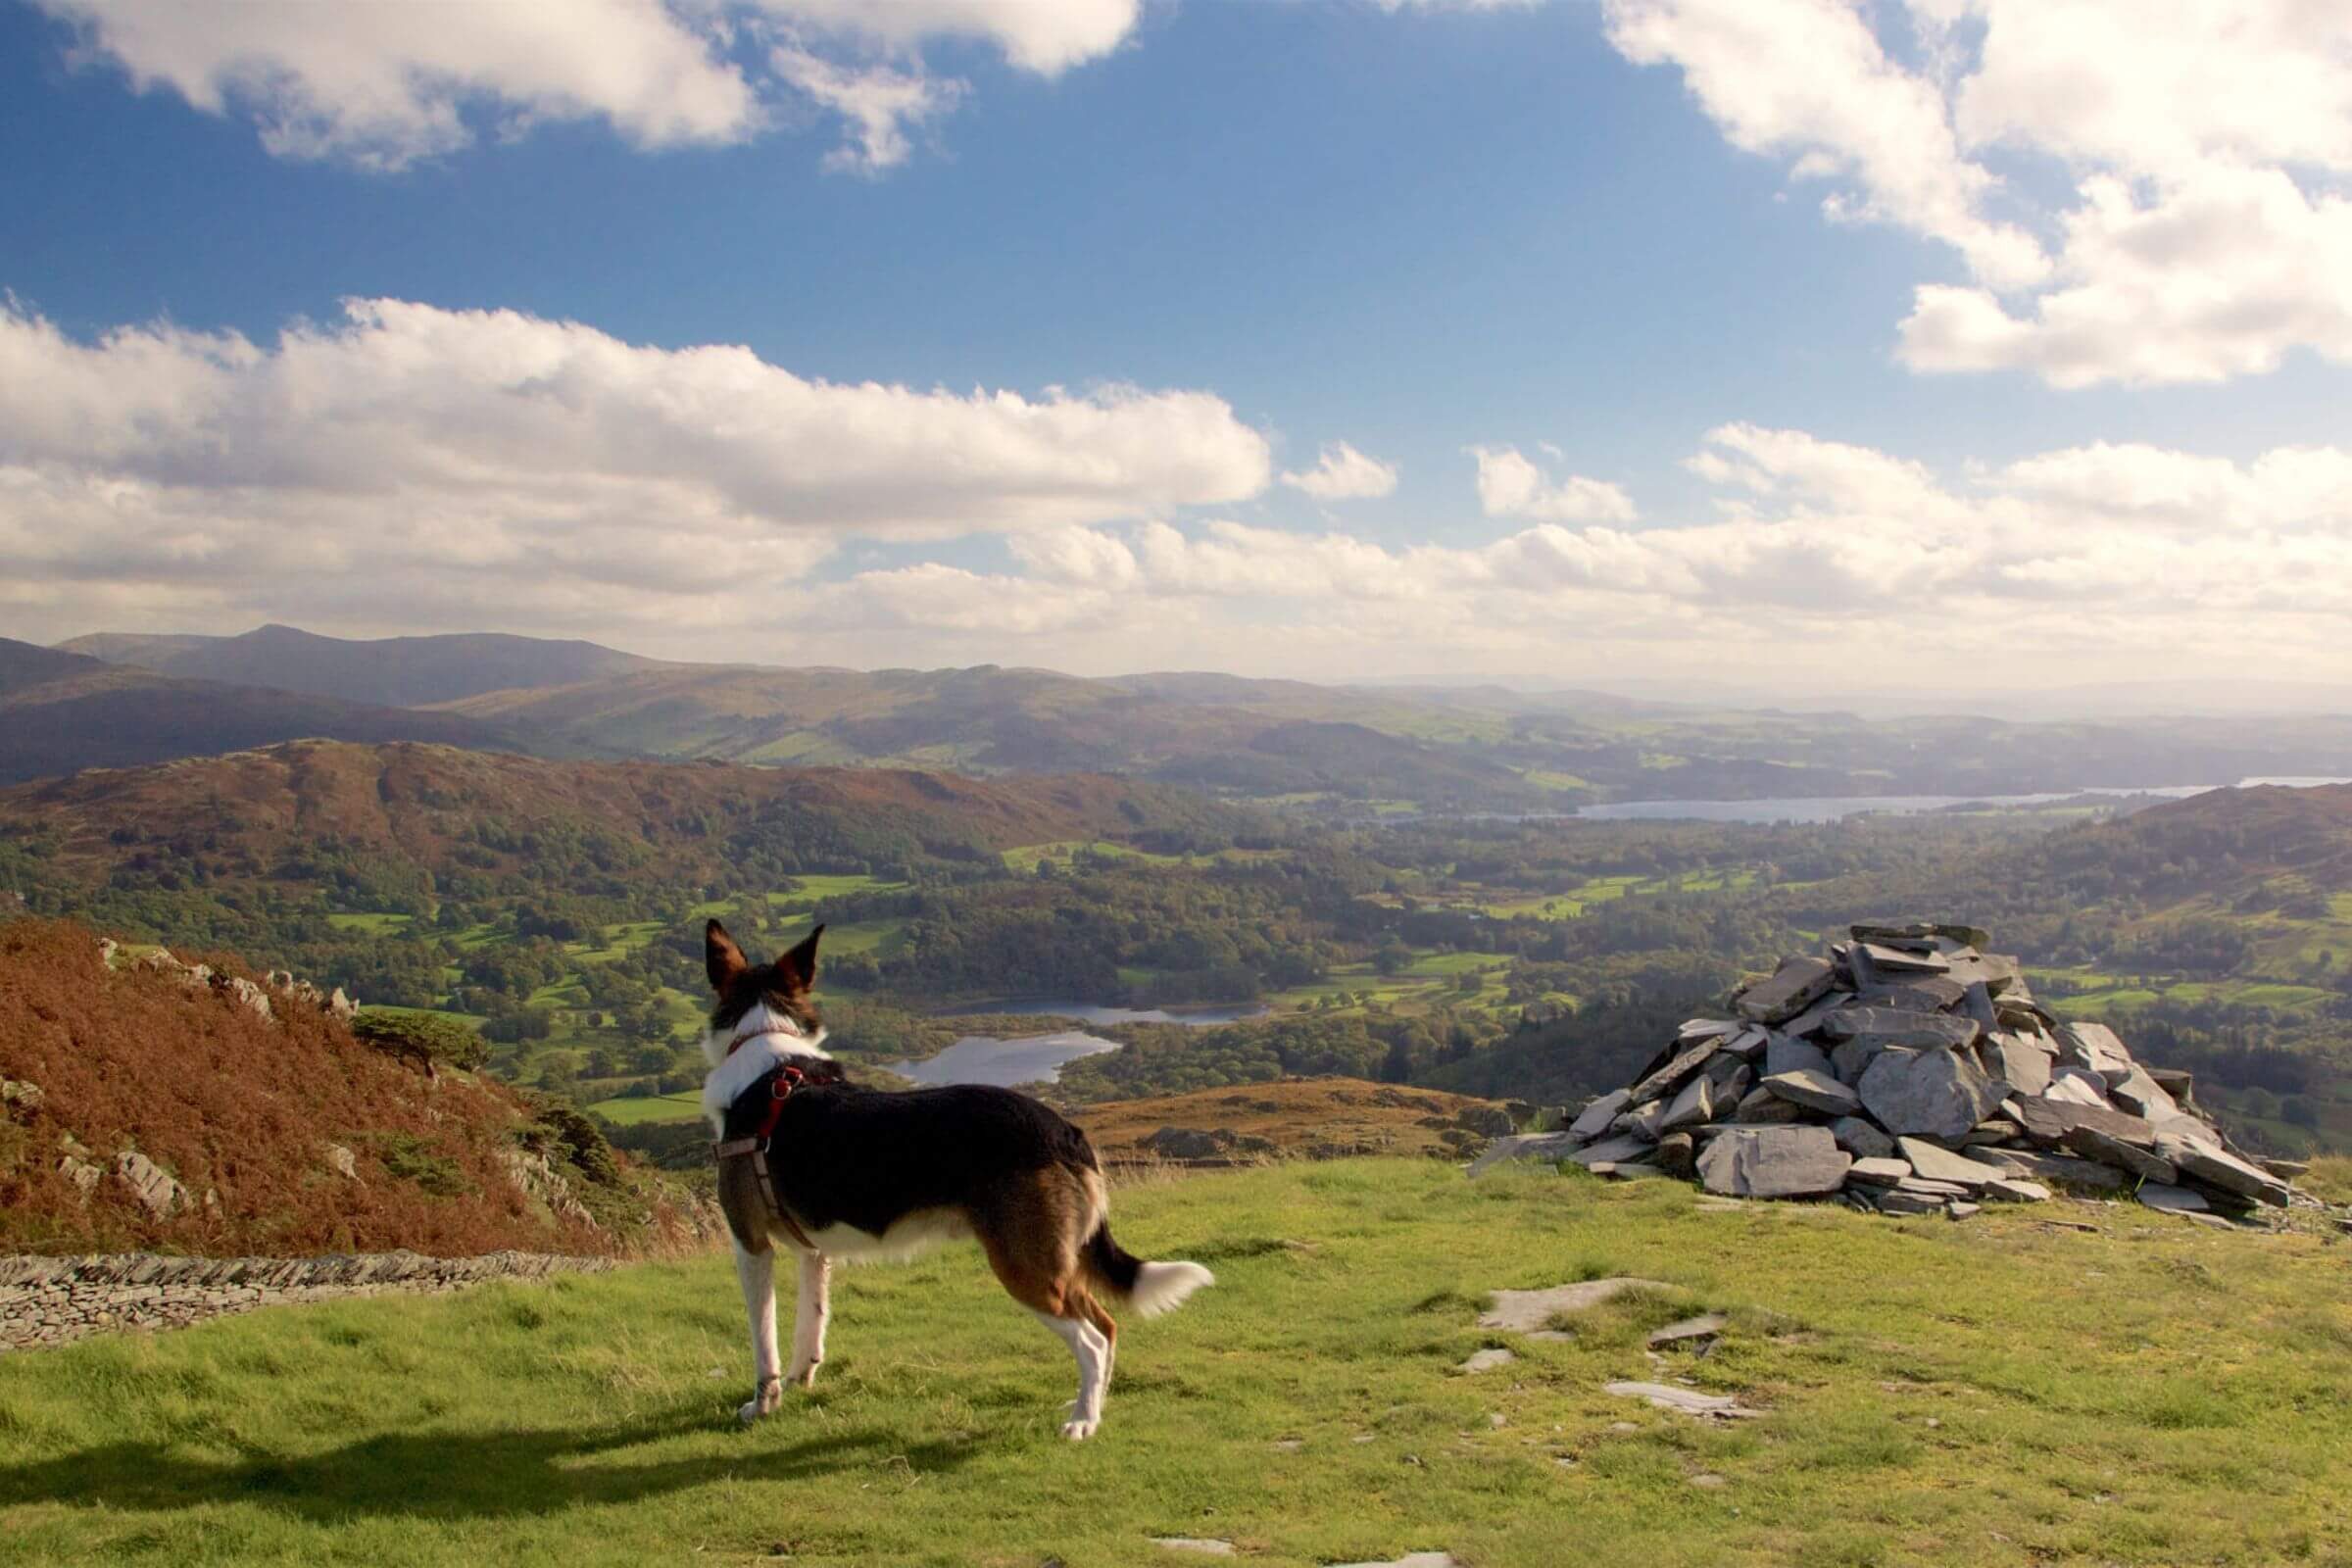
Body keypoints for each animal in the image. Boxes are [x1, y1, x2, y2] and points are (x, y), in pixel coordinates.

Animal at [691, 921, 1213, 1447]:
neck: (767, 1059)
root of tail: (1065, 1131)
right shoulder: (812, 1251)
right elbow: (809, 1325)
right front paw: (803, 1379)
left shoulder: (750, 1243)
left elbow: (763, 1339)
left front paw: (763, 1404)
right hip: (1053, 1259)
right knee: (1106, 1326)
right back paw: (1094, 1406)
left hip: (1024, 1265)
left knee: (1090, 1338)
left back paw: (1083, 1421)